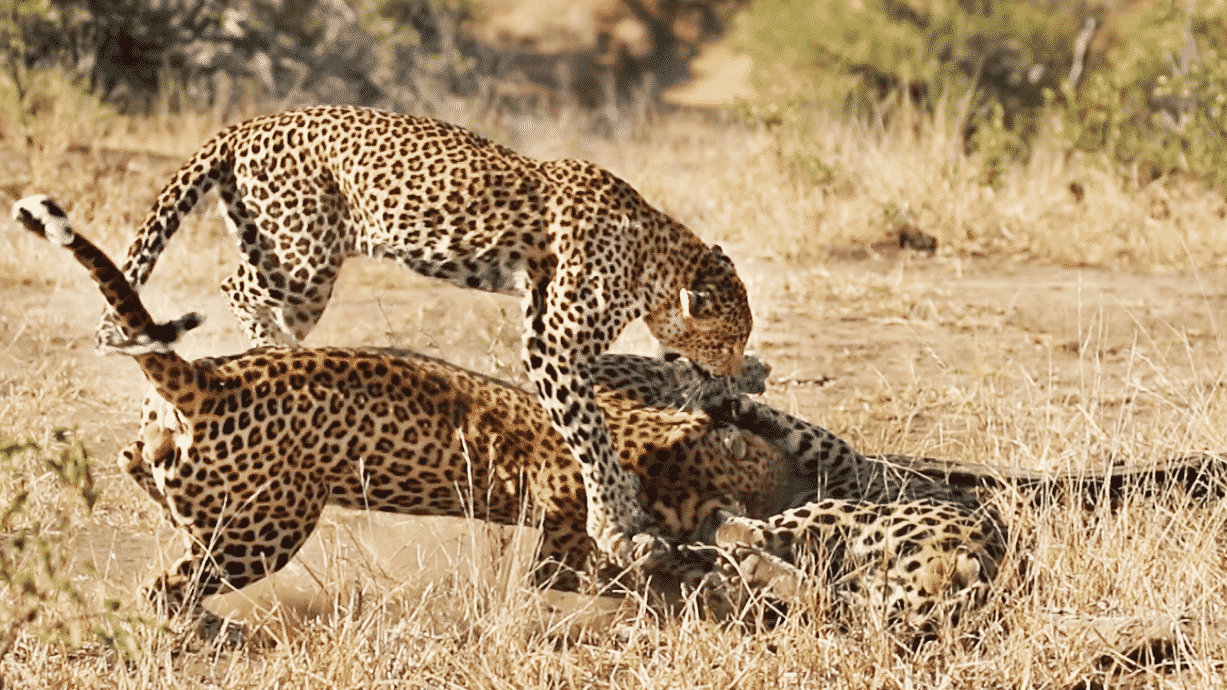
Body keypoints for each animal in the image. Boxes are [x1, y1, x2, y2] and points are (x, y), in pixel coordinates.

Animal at [14, 195, 1001, 633]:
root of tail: (201, 380)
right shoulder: (597, 487)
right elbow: (631, 524)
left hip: (212, 497)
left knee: (157, 532)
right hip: (266, 527)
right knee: (170, 587)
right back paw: (216, 631)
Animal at [93, 101, 755, 564]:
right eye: (727, 340)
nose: (730, 370)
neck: (655, 260)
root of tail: (249, 124)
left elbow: (609, 408)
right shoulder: (553, 343)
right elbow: (589, 433)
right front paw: (615, 518)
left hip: (291, 260)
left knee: (251, 292)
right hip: (304, 255)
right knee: (237, 287)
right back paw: (273, 347)